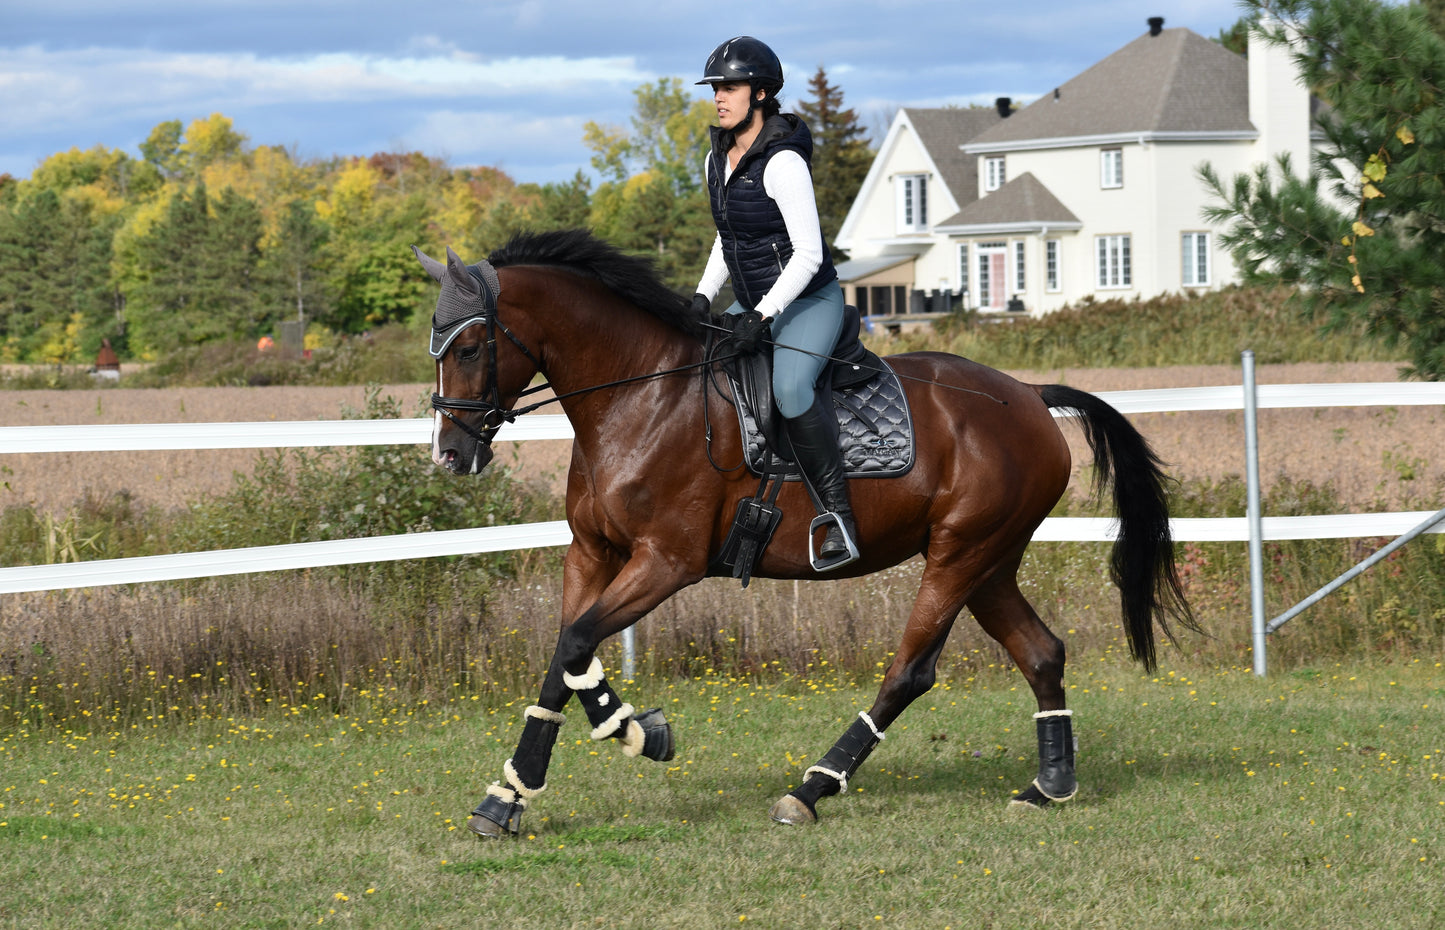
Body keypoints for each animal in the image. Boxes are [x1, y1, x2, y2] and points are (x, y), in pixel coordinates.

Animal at [413, 231, 1190, 837]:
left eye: (473, 346)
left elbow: (578, 644)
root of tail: (1029, 396)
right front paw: (509, 795)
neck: (640, 392)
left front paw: (640, 734)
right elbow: (563, 657)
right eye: (435, 348)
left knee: (910, 672)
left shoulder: (666, 561)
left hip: (959, 555)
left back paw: (812, 788)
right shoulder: (592, 553)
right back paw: (1048, 785)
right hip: (989, 563)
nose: (449, 456)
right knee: (1040, 652)